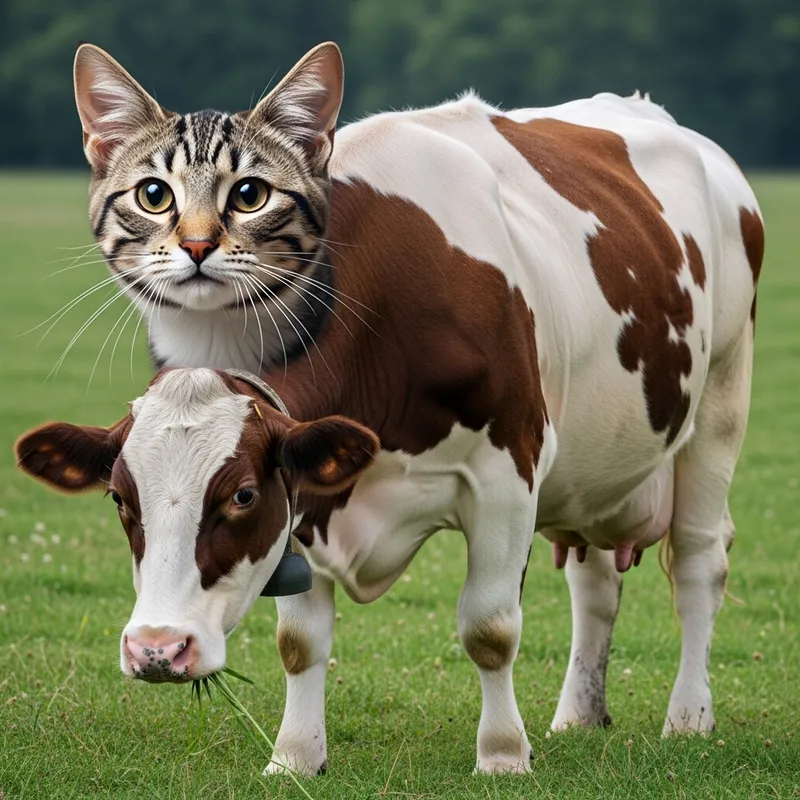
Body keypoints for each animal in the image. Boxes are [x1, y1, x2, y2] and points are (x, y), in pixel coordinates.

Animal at [15, 42, 764, 775]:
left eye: (243, 494)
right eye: (119, 497)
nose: (157, 649)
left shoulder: (509, 471)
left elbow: (490, 628)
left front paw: (502, 756)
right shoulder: (312, 488)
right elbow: (300, 641)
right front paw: (296, 757)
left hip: (721, 402)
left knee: (699, 563)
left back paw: (688, 718)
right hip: (595, 462)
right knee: (595, 580)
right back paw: (578, 715)